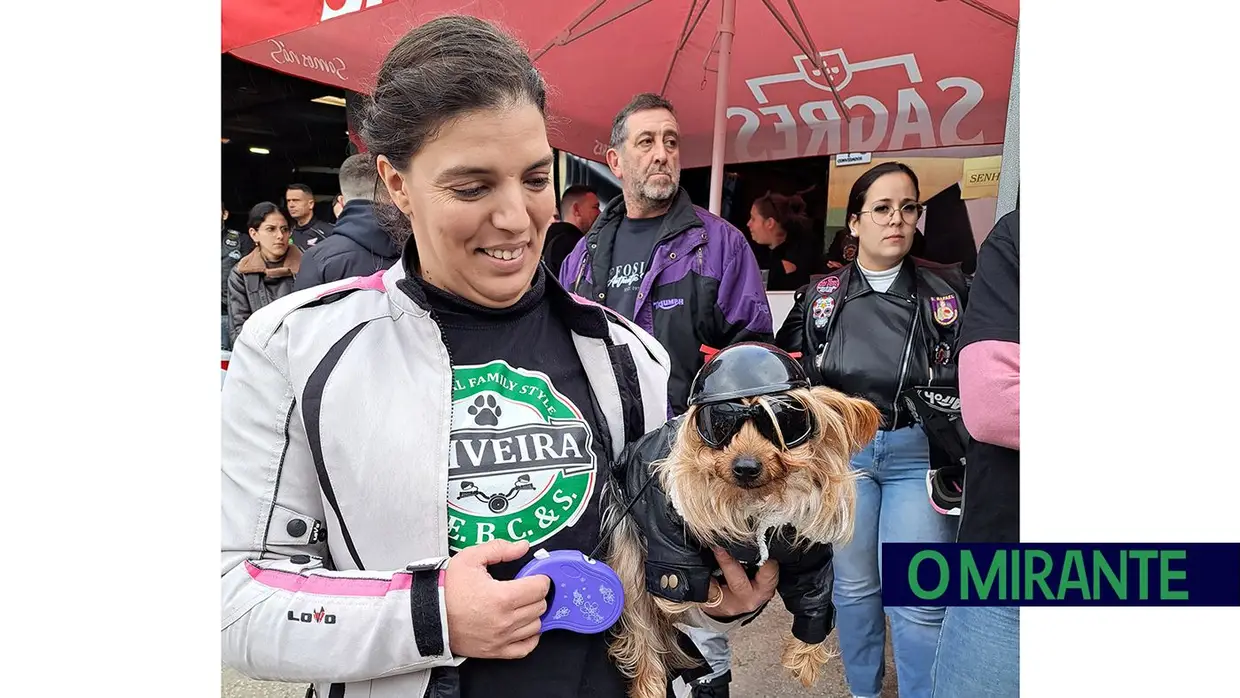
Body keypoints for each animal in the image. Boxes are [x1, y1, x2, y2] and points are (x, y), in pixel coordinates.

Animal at [602, 342, 882, 698]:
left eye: (783, 423)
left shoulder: (805, 551)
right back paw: (649, 682)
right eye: (720, 423)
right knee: (640, 617)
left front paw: (805, 659)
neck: (754, 504)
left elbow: (813, 594)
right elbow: (674, 586)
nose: (746, 467)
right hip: (627, 547)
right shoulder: (668, 536)